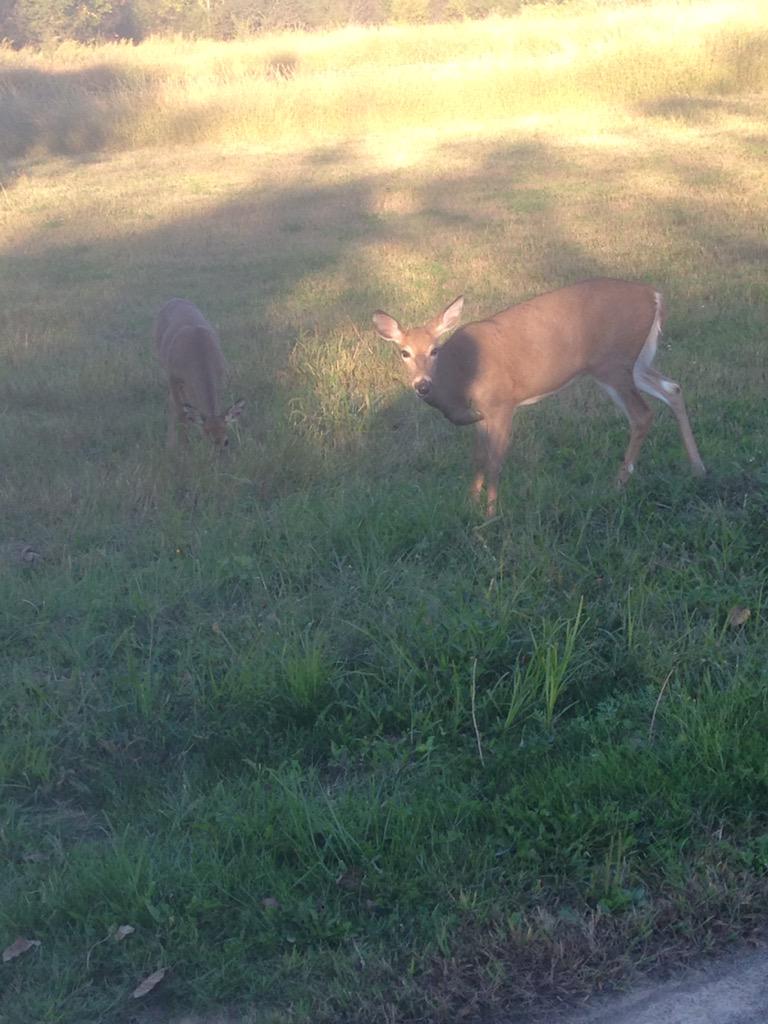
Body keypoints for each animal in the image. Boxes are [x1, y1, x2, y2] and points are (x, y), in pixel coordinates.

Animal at [154, 298, 244, 452]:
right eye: (208, 440)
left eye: (226, 441)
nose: (220, 455)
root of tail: (174, 299)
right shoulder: (173, 376)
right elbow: (181, 412)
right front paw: (183, 447)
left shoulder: (221, 376)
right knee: (174, 403)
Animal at [373, 278, 706, 518]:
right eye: (404, 352)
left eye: (434, 350)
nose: (422, 385)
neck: (460, 379)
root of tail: (655, 296)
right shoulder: (481, 414)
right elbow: (478, 457)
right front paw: (471, 502)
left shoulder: (501, 403)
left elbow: (495, 459)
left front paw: (490, 516)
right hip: (634, 363)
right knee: (673, 388)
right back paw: (698, 467)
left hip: (612, 363)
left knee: (642, 415)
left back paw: (618, 483)